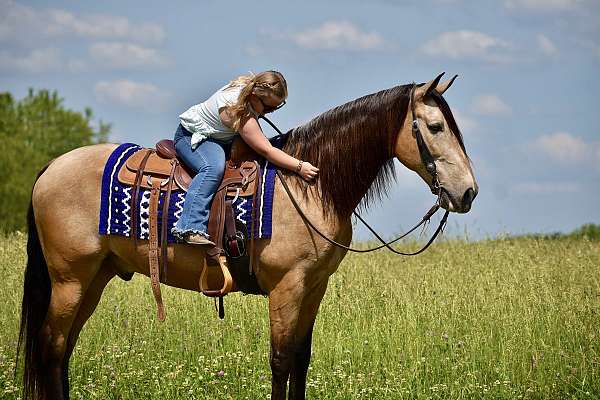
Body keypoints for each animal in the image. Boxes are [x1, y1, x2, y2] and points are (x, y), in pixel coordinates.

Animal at [18, 72, 476, 400]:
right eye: (435, 127)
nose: (468, 192)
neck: (311, 187)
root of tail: (51, 167)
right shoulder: (287, 286)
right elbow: (280, 360)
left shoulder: (314, 286)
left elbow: (301, 360)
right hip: (70, 278)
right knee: (52, 346)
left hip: (95, 277)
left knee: (63, 350)